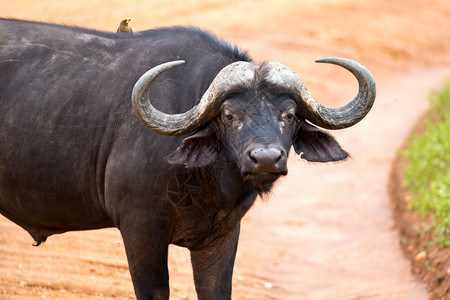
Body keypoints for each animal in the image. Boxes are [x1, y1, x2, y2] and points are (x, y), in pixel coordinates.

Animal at [0, 18, 374, 300]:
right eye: (229, 115)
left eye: (290, 115)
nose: (266, 159)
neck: (204, 181)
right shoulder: (140, 228)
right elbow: (155, 292)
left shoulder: (223, 234)